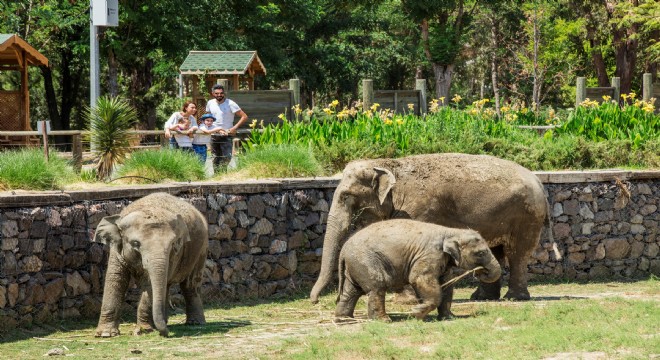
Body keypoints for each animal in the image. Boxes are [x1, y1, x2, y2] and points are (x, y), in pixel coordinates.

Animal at [94, 193, 208, 336]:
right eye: (135, 243)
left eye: (173, 244)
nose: (166, 333)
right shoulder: (116, 250)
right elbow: (115, 278)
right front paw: (106, 334)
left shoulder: (173, 255)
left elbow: (149, 284)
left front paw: (143, 330)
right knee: (166, 285)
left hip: (201, 250)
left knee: (190, 285)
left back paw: (194, 323)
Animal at [310, 153, 556, 304]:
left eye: (346, 196)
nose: (316, 300)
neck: (389, 165)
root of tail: (539, 181)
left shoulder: (419, 209)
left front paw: (406, 301)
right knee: (496, 252)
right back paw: (481, 297)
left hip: (526, 215)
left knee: (517, 254)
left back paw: (514, 298)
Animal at [336, 218, 500, 322]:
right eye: (481, 253)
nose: (482, 272)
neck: (451, 231)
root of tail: (343, 250)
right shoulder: (430, 254)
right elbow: (419, 278)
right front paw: (416, 313)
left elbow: (446, 285)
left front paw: (449, 317)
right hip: (366, 261)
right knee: (377, 287)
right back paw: (384, 321)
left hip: (355, 265)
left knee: (351, 291)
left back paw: (344, 319)